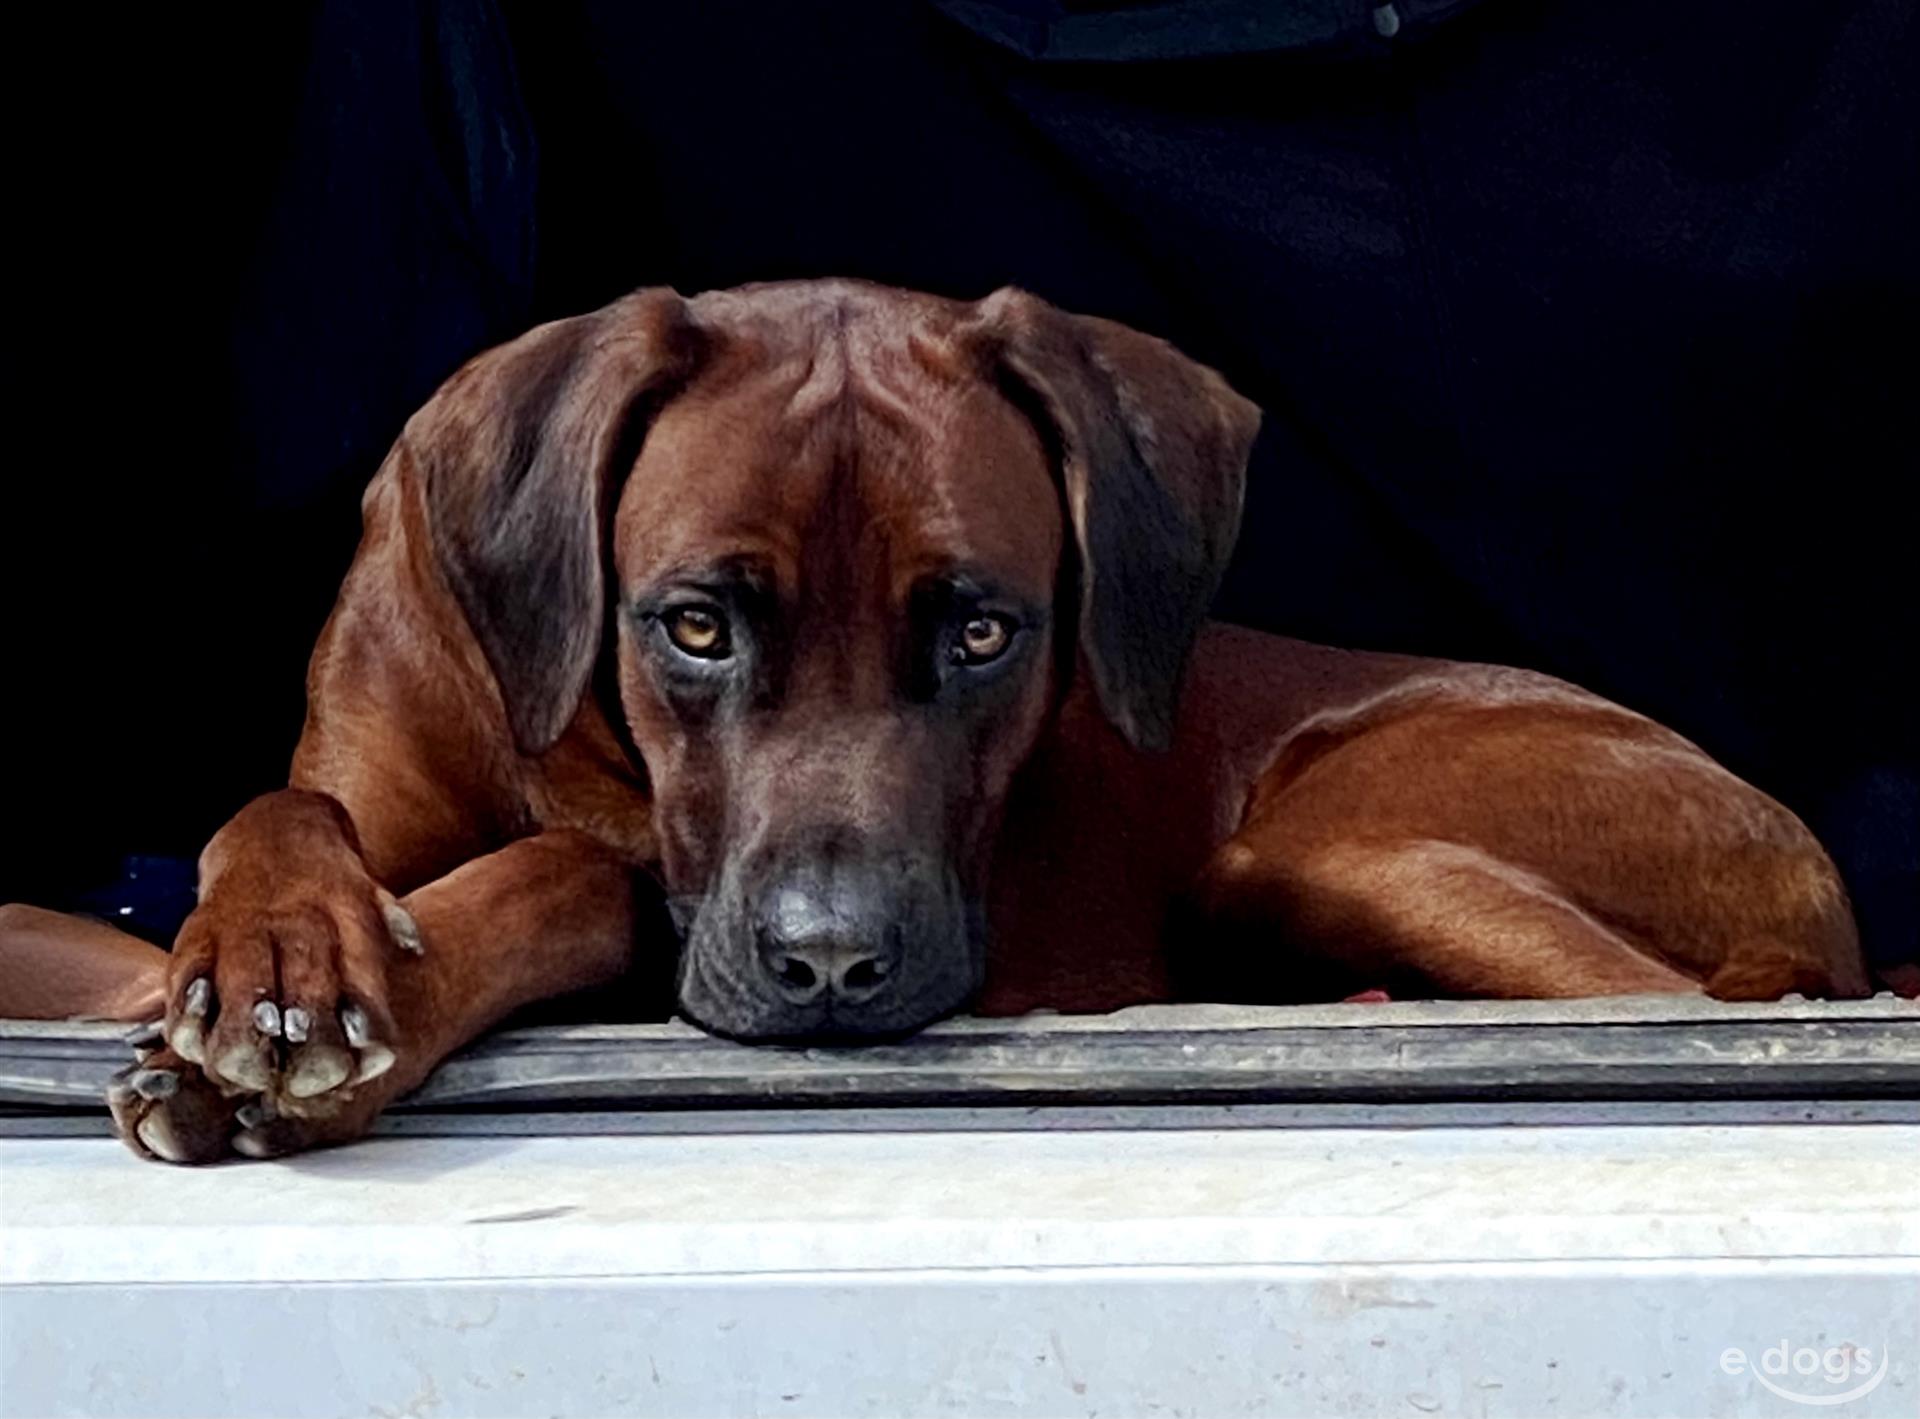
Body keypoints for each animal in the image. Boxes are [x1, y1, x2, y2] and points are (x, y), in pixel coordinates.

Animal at [0, 280, 1858, 1167]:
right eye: (692, 622)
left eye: (981, 629)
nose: (830, 965)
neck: (560, 719)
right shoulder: (370, 760)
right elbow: (270, 817)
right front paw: (278, 953)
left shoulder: (639, 896)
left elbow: (555, 877)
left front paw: (357, 1020)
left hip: (1336, 844)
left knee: (1667, 1000)